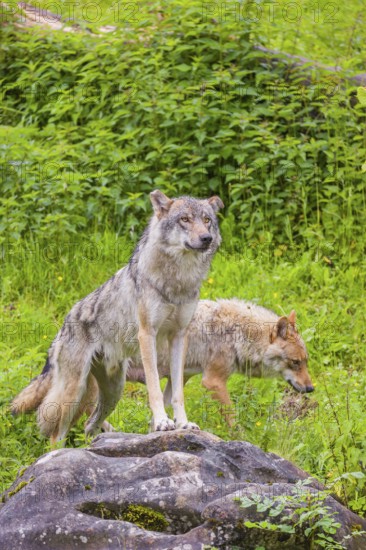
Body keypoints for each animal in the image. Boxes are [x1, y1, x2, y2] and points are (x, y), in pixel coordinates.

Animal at [11, 192, 223, 446]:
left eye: (207, 220)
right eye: (185, 219)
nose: (206, 238)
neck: (178, 280)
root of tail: (63, 325)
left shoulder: (179, 336)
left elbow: (178, 393)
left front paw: (183, 424)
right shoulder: (147, 334)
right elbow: (154, 386)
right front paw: (162, 423)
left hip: (113, 392)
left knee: (88, 425)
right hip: (74, 393)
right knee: (55, 435)